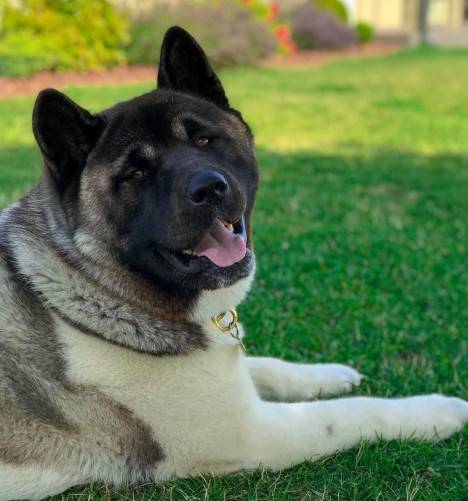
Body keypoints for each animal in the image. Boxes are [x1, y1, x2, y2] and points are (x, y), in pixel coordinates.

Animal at [0, 26, 467, 500]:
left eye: (204, 140)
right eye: (135, 174)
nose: (208, 188)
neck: (90, 285)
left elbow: (264, 365)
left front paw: (327, 373)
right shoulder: (250, 434)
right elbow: (348, 414)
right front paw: (436, 411)